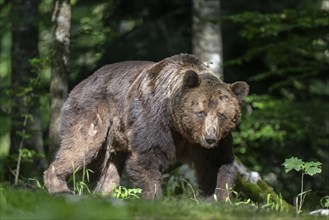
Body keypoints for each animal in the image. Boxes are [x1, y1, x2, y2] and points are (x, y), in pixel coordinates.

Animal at [44, 53, 249, 201]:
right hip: (93, 112)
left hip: (116, 137)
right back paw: (60, 187)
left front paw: (217, 198)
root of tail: (80, 83)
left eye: (222, 115)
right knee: (81, 147)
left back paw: (101, 194)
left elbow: (218, 166)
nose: (210, 138)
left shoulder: (211, 144)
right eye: (201, 112)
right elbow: (147, 158)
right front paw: (154, 197)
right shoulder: (154, 120)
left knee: (109, 171)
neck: (181, 129)